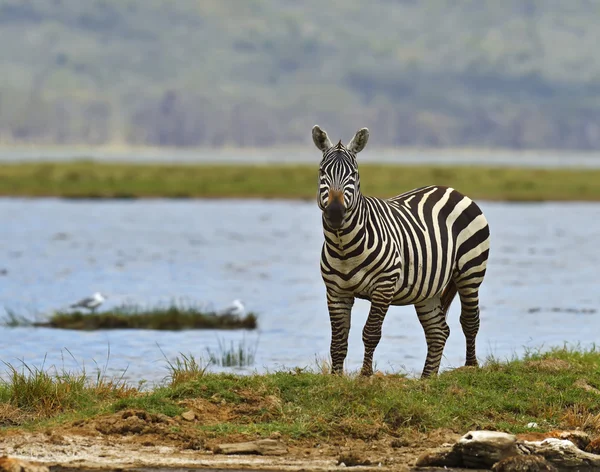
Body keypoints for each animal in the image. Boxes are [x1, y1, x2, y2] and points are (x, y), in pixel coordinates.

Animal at [312, 124, 490, 376]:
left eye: (354, 174)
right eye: (322, 172)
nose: (335, 213)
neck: (344, 246)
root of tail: (451, 189)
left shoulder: (383, 286)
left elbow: (371, 333)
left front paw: (365, 376)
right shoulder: (336, 291)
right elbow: (338, 340)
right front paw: (336, 378)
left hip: (470, 271)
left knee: (470, 321)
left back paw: (470, 367)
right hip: (428, 288)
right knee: (438, 331)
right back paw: (427, 379)